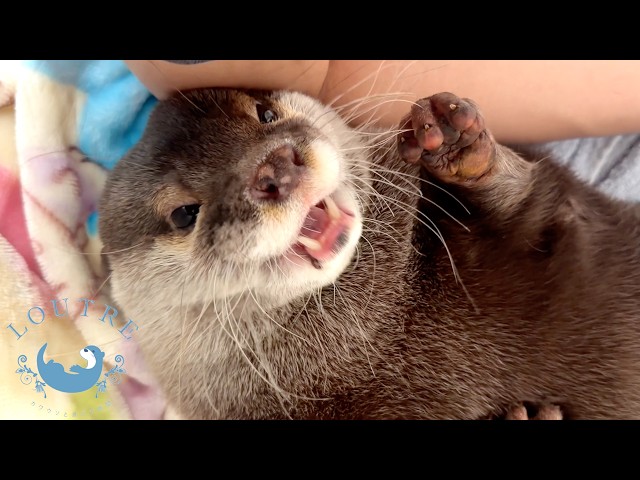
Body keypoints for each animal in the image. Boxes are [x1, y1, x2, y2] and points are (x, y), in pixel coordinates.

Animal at [98, 89, 640, 419]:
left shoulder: (558, 231)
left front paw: (458, 145)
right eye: (184, 213)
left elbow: (534, 203)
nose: (276, 167)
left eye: (265, 113)